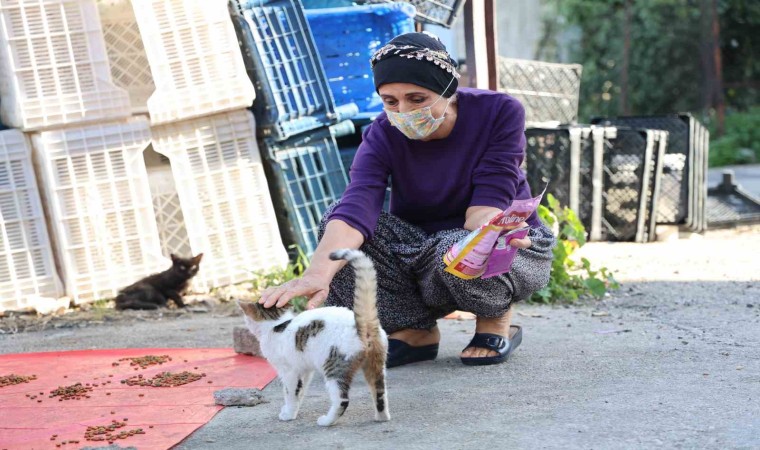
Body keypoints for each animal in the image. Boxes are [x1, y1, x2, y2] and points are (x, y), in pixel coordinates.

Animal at [237, 249, 390, 427]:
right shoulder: (304, 370)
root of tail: (362, 324)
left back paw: (327, 420)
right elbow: (299, 392)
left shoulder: (288, 371)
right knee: (380, 394)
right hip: (376, 365)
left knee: (342, 400)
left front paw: (288, 414)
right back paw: (381, 417)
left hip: (334, 367)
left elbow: (289, 393)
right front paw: (292, 410)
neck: (277, 324)